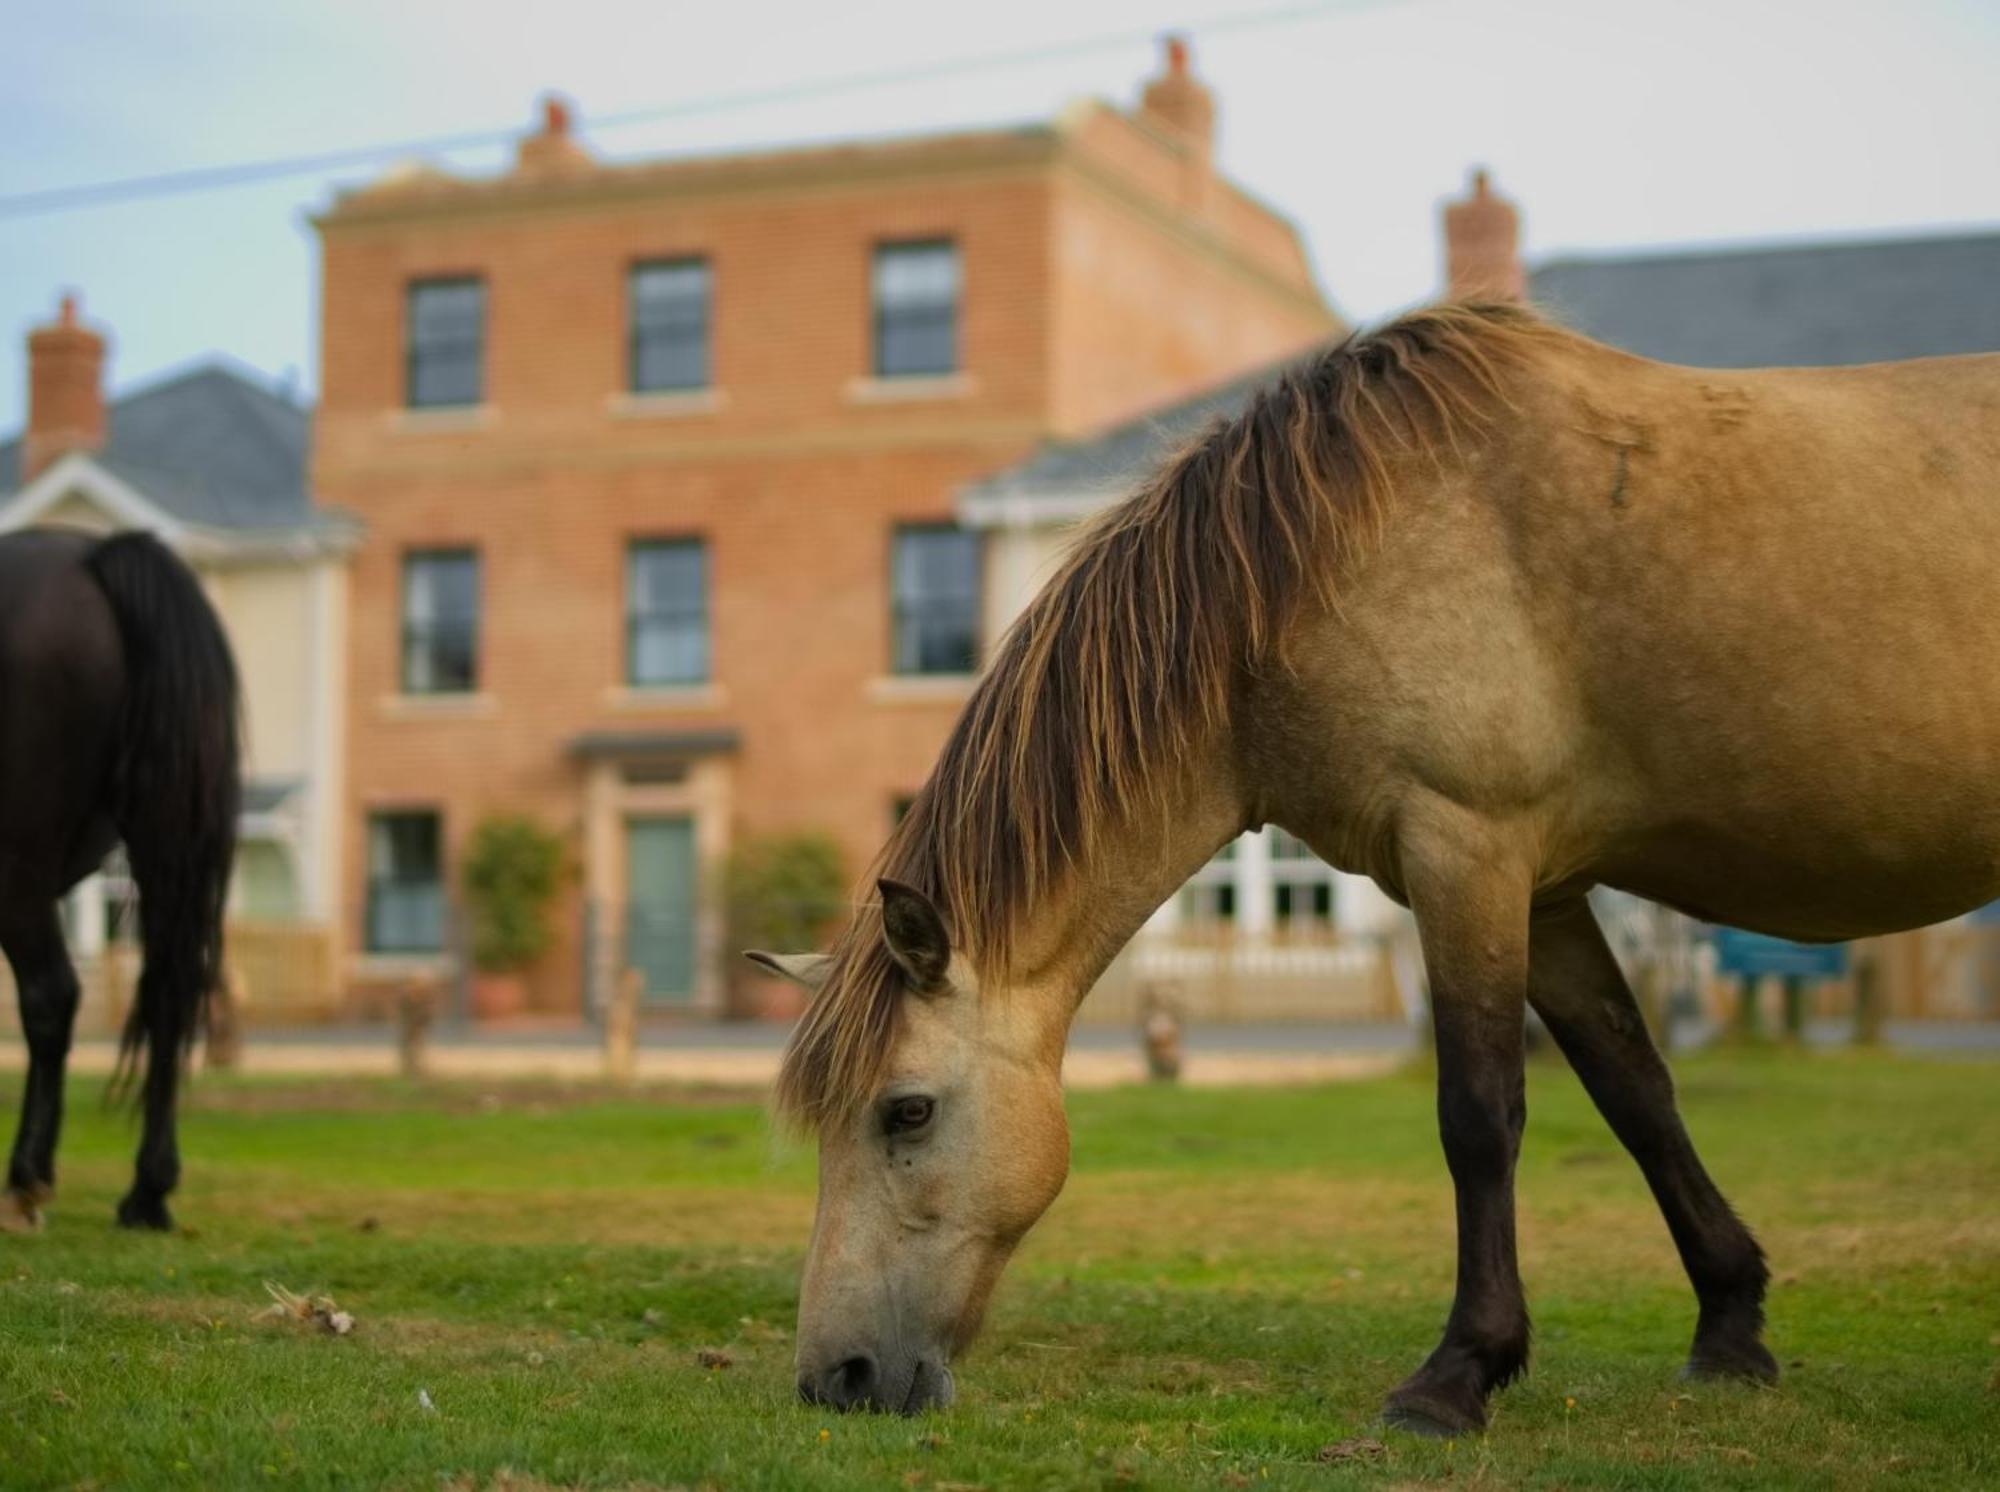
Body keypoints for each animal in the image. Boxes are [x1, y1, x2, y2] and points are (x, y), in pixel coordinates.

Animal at [2, 528, 238, 1224]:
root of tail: (91, 555)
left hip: (17, 864)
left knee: (51, 995)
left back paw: (27, 1178)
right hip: (165, 849)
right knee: (167, 994)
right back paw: (146, 1192)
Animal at [752, 302, 2000, 1432]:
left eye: (906, 1112)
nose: (836, 1378)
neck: (1331, 553)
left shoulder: (1466, 850)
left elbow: (1479, 1113)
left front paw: (1459, 1373)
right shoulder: (1545, 891)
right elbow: (1635, 1090)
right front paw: (1729, 1326)